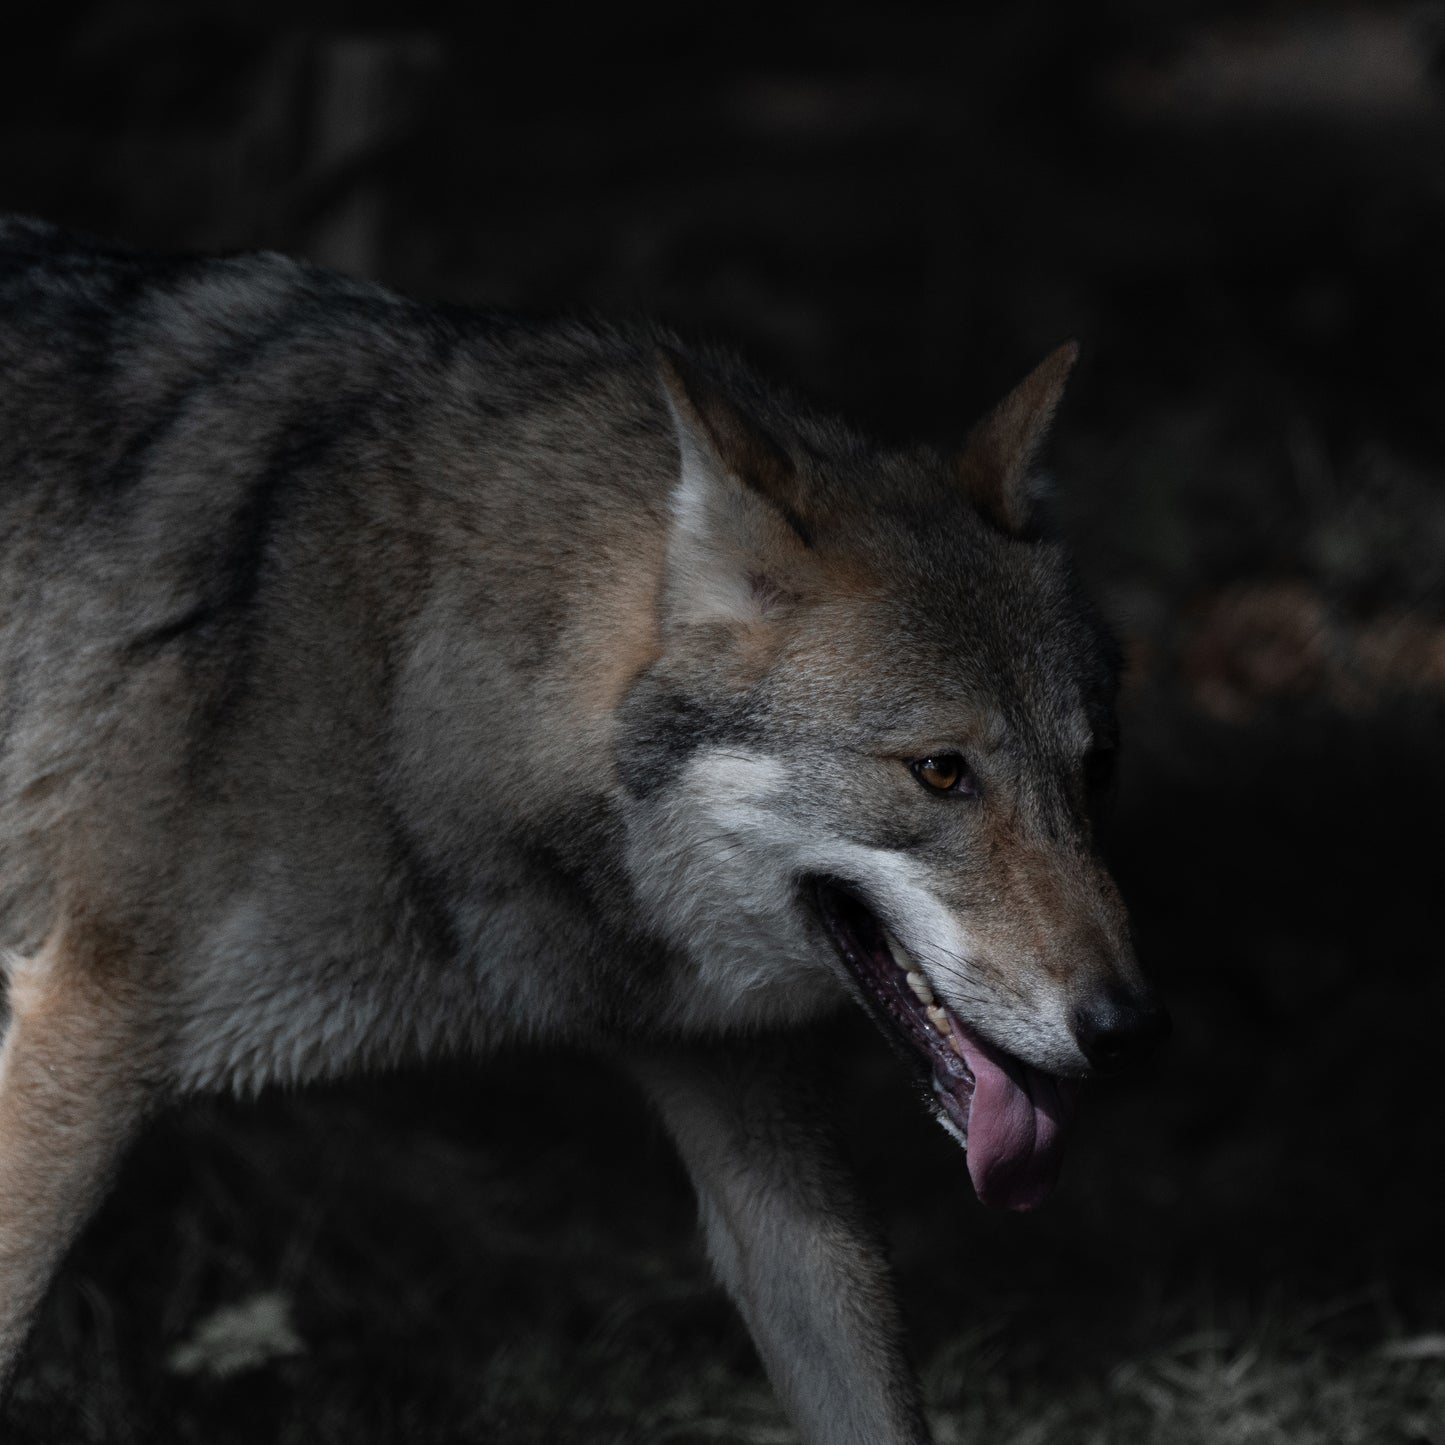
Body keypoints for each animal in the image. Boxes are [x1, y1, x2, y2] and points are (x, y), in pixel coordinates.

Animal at [0, 215, 1165, 1442]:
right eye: (940, 772)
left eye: (1096, 765)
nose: (1128, 1028)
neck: (407, 676)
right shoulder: (86, 1037)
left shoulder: (748, 1103)